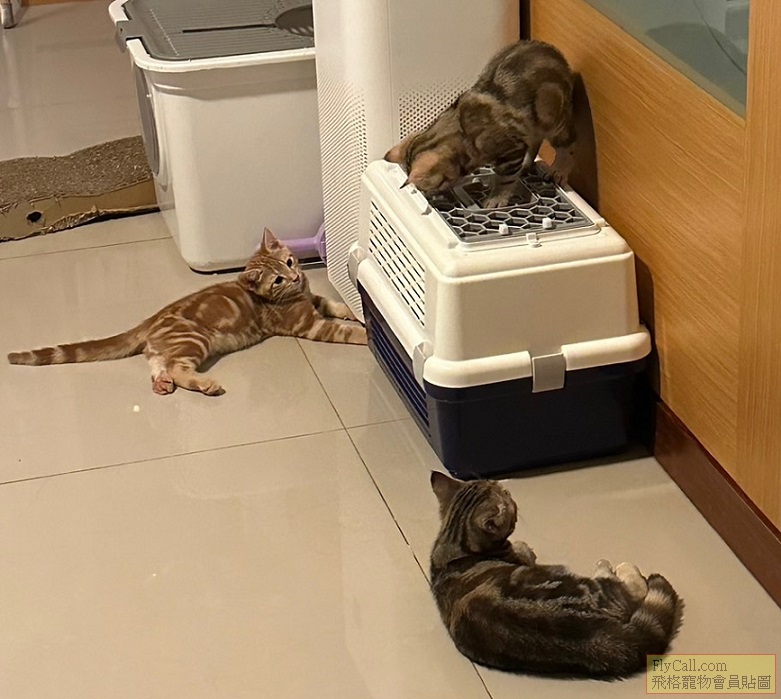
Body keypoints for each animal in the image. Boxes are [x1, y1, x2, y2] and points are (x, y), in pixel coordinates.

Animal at [7, 228, 366, 396]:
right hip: (193, 341)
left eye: (290, 262)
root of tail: (151, 320)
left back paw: (162, 384)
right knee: (178, 368)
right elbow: (344, 330)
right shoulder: (310, 326)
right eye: (277, 279)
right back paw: (204, 385)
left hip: (167, 349)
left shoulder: (313, 298)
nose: (295, 276)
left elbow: (333, 304)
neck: (297, 294)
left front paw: (353, 309)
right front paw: (364, 332)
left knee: (157, 365)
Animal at [385, 40, 577, 207]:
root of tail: (556, 53)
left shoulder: (512, 151)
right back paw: (527, 164)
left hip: (552, 120)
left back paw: (558, 170)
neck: (463, 132)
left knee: (568, 144)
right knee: (536, 141)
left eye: (424, 186)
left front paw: (496, 199)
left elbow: (506, 179)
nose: (424, 194)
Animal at [429, 471, 683, 678]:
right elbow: (522, 550)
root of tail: (599, 638)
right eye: (505, 494)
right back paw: (619, 566)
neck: (454, 545)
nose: (507, 489)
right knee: (633, 588)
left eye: (501, 488)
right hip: (594, 588)